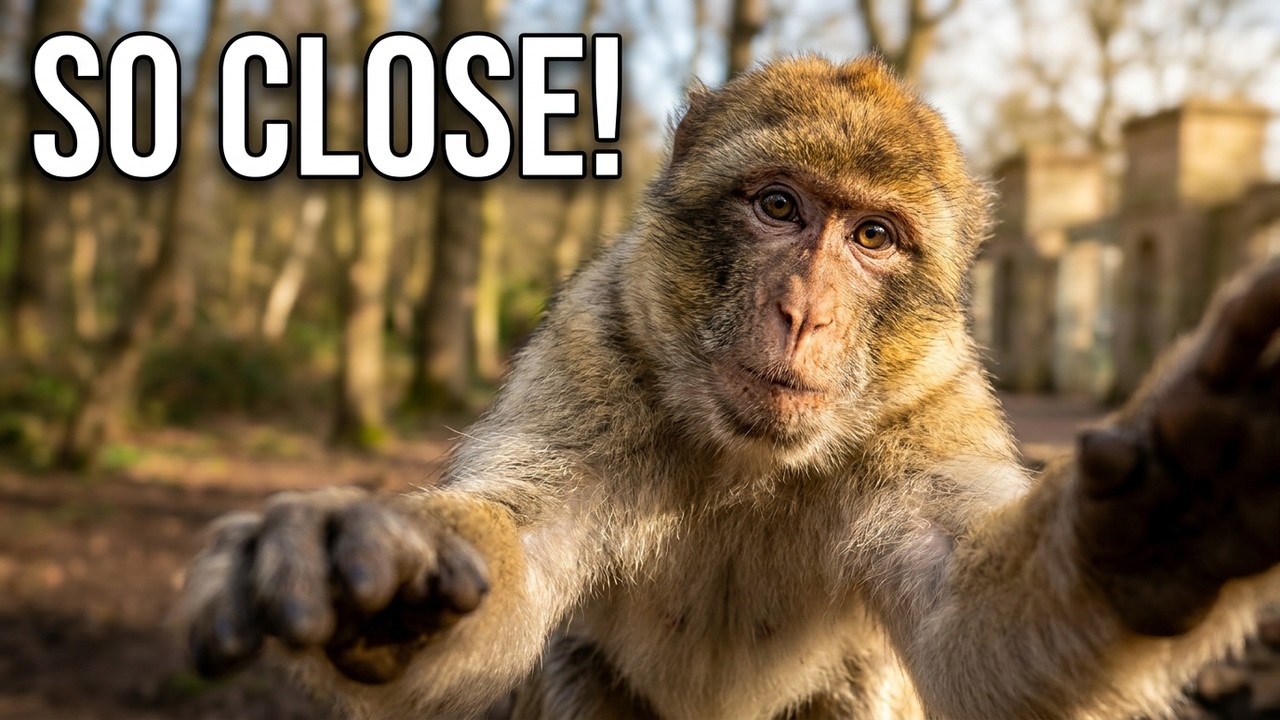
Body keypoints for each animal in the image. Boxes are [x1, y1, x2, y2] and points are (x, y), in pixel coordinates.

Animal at [180, 55, 1280, 719]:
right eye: (778, 207)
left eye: (872, 237)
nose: (803, 312)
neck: (752, 461)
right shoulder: (598, 354)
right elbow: (517, 564)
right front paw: (388, 572)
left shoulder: (923, 413)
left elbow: (969, 626)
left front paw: (1164, 517)